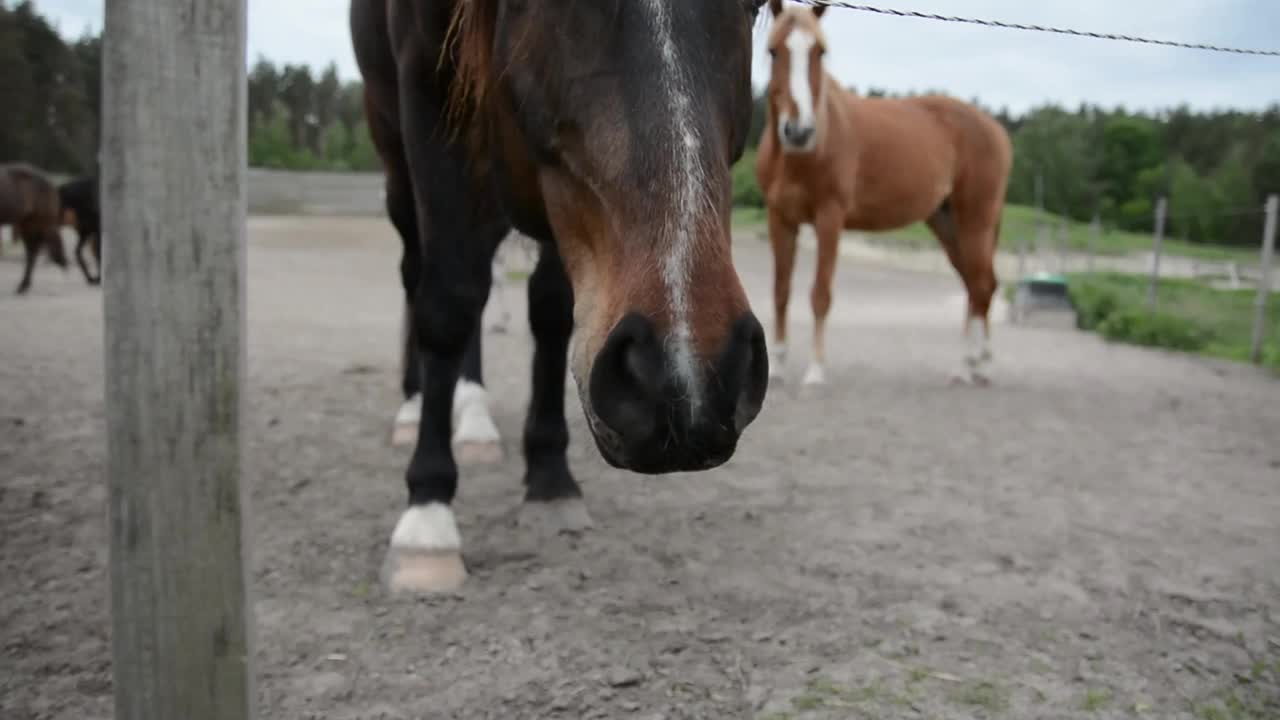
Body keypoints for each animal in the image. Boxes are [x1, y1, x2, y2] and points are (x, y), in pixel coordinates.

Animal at [0, 163, 69, 293]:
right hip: (28, 225)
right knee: (32, 252)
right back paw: (24, 285)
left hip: (38, 223)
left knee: (33, 252)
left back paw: (23, 286)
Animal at [348, 0, 768, 589]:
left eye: (754, 6)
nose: (684, 382)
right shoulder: (427, 87)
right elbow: (449, 303)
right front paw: (426, 517)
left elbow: (548, 310)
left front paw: (549, 479)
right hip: (396, 151)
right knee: (424, 276)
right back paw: (414, 407)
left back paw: (473, 416)